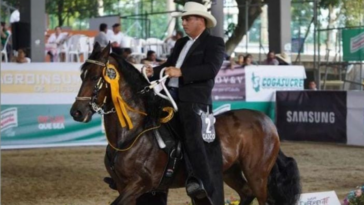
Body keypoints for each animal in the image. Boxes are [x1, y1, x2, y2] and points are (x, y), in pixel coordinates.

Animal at [69, 42, 300, 205]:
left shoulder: (139, 184)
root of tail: (266, 121)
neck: (133, 133)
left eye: (96, 77)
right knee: (246, 193)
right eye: (82, 75)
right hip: (230, 172)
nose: (77, 112)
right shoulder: (121, 185)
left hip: (257, 174)